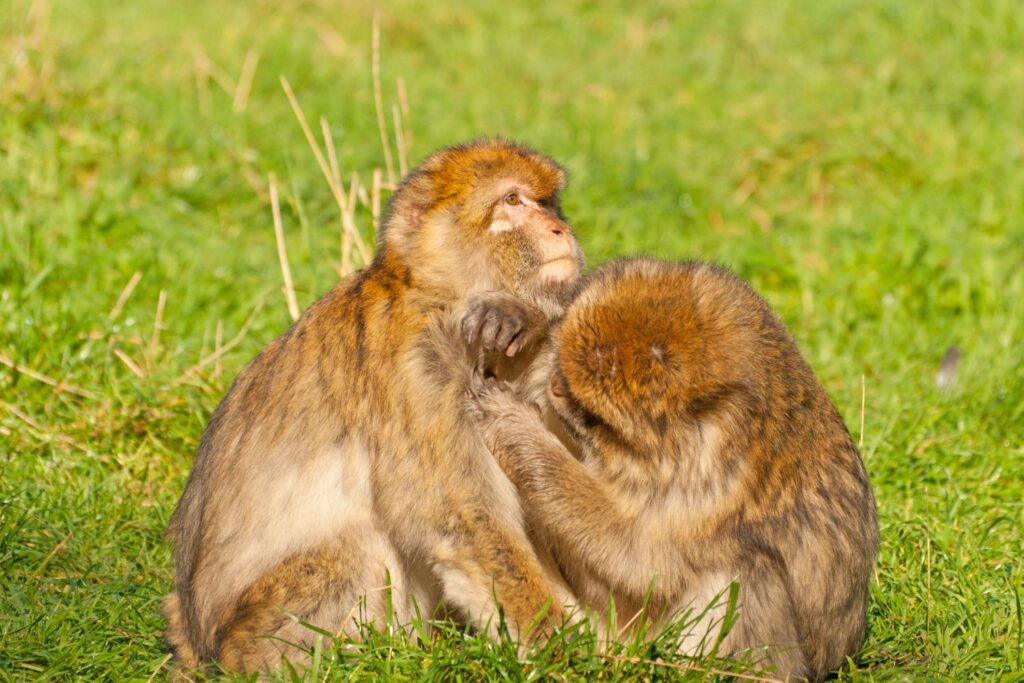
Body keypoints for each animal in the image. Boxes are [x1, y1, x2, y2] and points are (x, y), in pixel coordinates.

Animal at [164, 139, 589, 671]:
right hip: (261, 630)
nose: (560, 229)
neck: (439, 299)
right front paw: (561, 651)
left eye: (548, 203)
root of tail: (196, 644)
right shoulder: (418, 371)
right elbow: (462, 520)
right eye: (513, 201)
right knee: (357, 547)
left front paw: (521, 315)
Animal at [468, 259, 876, 679]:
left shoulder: (710, 483)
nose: (556, 387)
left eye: (595, 417)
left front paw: (514, 423)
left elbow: (635, 552)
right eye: (562, 368)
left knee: (747, 571)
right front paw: (518, 318)